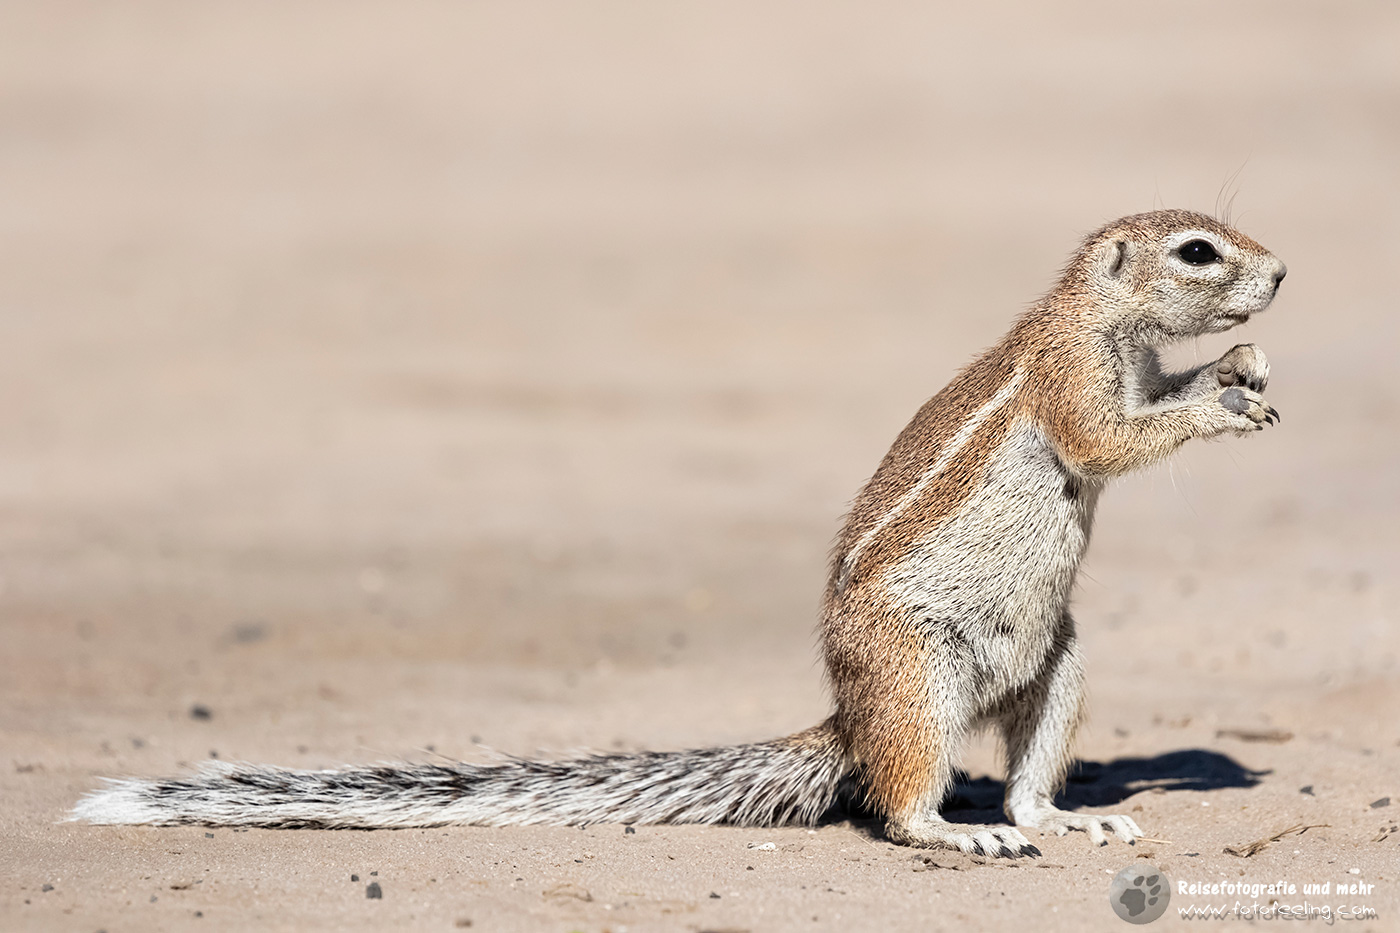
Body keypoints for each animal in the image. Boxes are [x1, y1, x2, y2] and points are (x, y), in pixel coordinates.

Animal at [73, 209, 1285, 857]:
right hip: (916, 676)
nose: (1280, 272)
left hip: (1057, 664)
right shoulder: (1070, 381)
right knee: (899, 805)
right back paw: (961, 830)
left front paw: (1236, 372)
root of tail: (847, 717)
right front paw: (1220, 403)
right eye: (1196, 251)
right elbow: (1107, 441)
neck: (1094, 315)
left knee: (1026, 772)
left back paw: (1062, 817)